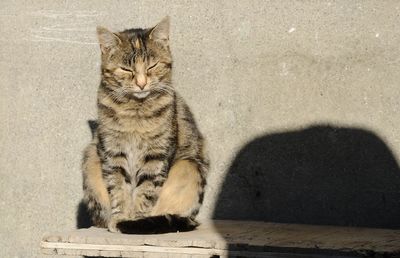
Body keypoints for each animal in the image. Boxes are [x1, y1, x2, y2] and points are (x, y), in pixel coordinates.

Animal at [81, 17, 209, 233]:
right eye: (126, 69)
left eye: (152, 66)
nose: (141, 83)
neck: (136, 111)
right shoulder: (113, 152)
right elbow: (118, 187)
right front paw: (120, 217)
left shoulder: (156, 155)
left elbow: (146, 189)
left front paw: (135, 220)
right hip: (90, 158)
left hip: (189, 166)